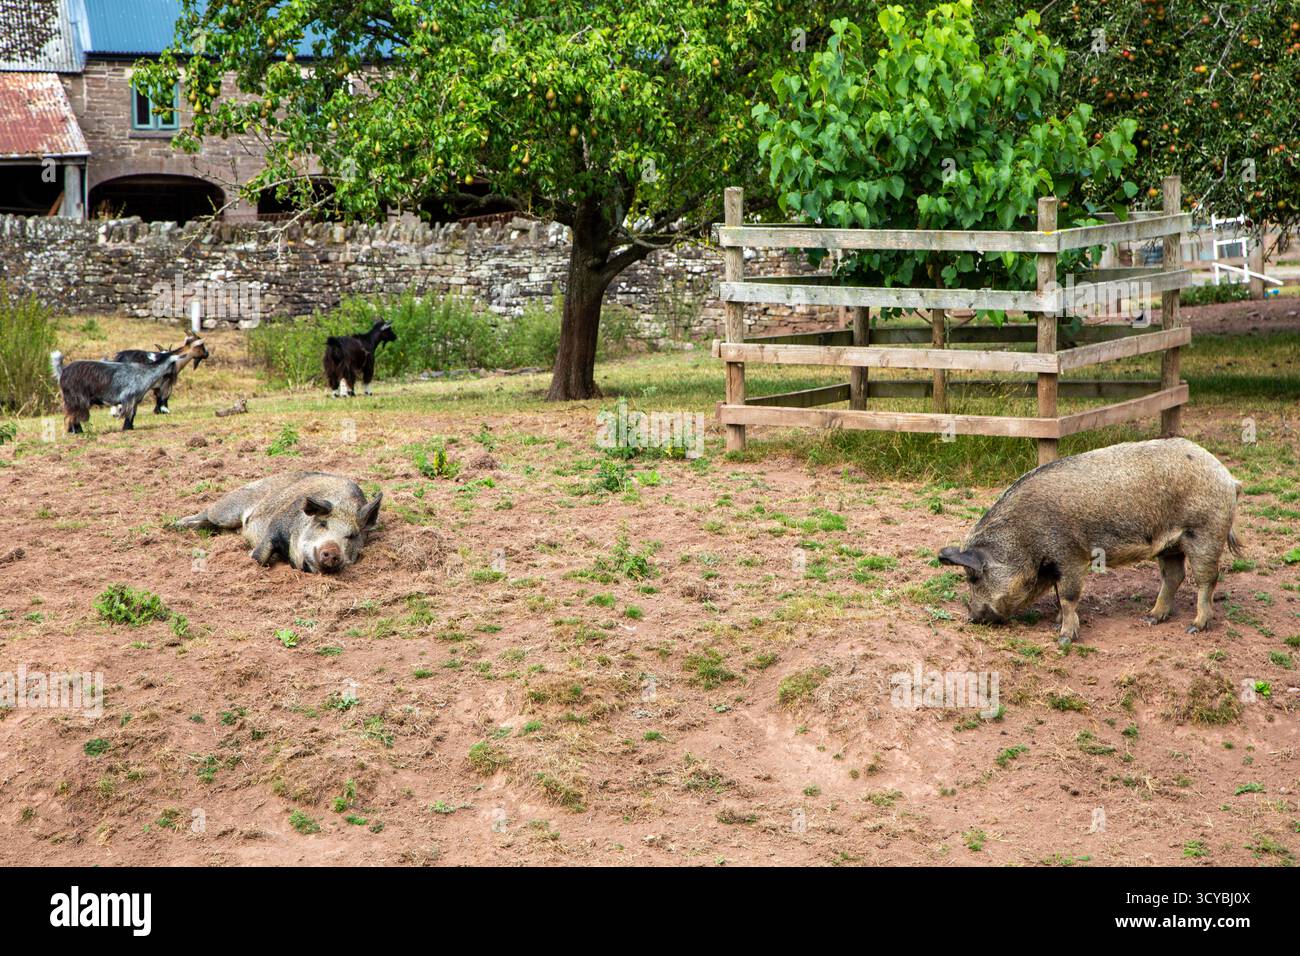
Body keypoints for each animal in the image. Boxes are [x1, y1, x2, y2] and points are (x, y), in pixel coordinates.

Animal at [178, 472, 382, 573]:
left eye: (352, 536)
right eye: (322, 524)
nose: (332, 550)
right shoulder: (276, 525)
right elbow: (260, 556)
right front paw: (249, 555)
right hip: (227, 509)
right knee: (207, 514)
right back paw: (178, 524)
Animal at [938, 438, 1242, 645]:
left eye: (973, 577)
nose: (971, 616)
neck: (1024, 539)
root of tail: (1228, 476)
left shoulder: (1070, 555)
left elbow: (1068, 595)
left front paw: (1063, 638)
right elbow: (1059, 594)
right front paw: (1056, 624)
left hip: (1205, 531)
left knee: (1206, 579)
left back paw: (1194, 626)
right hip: (1170, 544)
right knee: (1174, 576)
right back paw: (1150, 618)